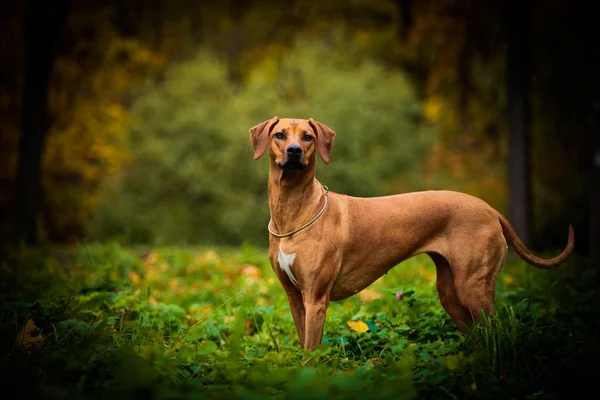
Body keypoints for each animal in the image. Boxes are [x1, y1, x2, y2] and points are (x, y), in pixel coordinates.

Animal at [247, 116, 572, 350]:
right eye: (279, 135)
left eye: (308, 137)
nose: (294, 151)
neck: (294, 212)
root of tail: (490, 209)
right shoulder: (295, 298)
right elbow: (303, 343)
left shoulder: (316, 298)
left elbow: (311, 353)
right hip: (451, 293)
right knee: (478, 335)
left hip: (474, 288)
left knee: (498, 332)